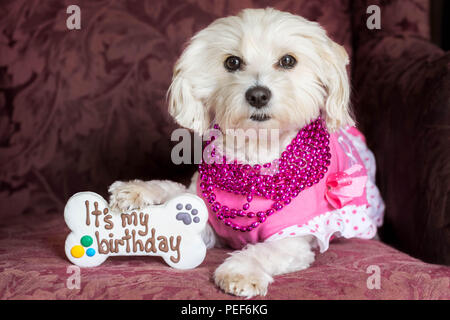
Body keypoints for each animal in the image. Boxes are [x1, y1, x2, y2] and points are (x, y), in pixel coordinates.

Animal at [108, 6, 384, 298]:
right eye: (232, 62)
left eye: (288, 61)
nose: (258, 95)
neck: (254, 154)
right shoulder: (208, 219)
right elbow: (177, 193)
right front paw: (139, 190)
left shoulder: (293, 238)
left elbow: (263, 251)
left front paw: (240, 272)